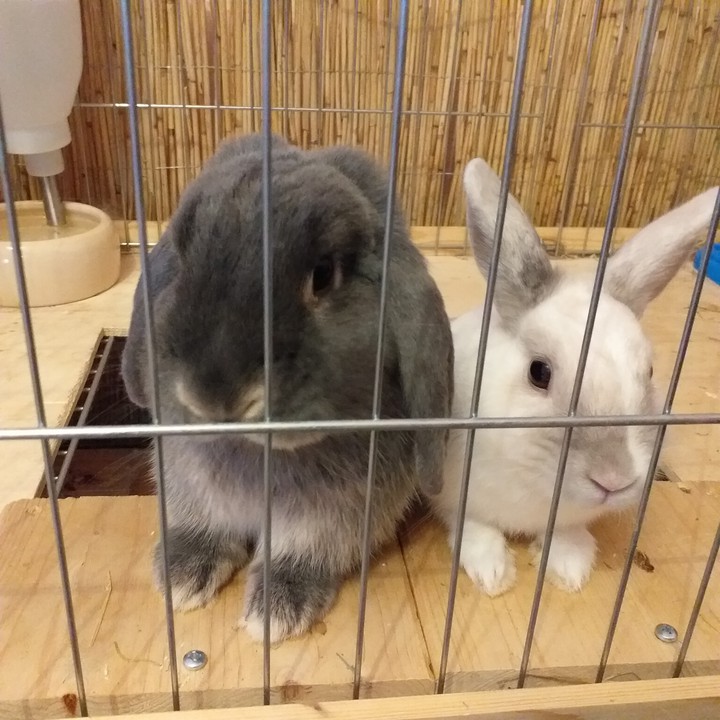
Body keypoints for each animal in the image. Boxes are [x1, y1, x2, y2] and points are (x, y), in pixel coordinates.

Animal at [121, 132, 453, 642]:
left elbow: (304, 549)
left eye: (323, 275)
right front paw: (181, 580)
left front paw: (276, 612)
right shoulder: (187, 479)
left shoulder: (336, 511)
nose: (215, 396)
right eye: (183, 257)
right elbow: (203, 520)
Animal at [431, 157, 719, 597]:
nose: (614, 480)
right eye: (539, 372)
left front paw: (570, 569)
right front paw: (494, 575)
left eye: (650, 372)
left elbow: (565, 535)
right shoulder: (456, 494)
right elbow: (473, 526)